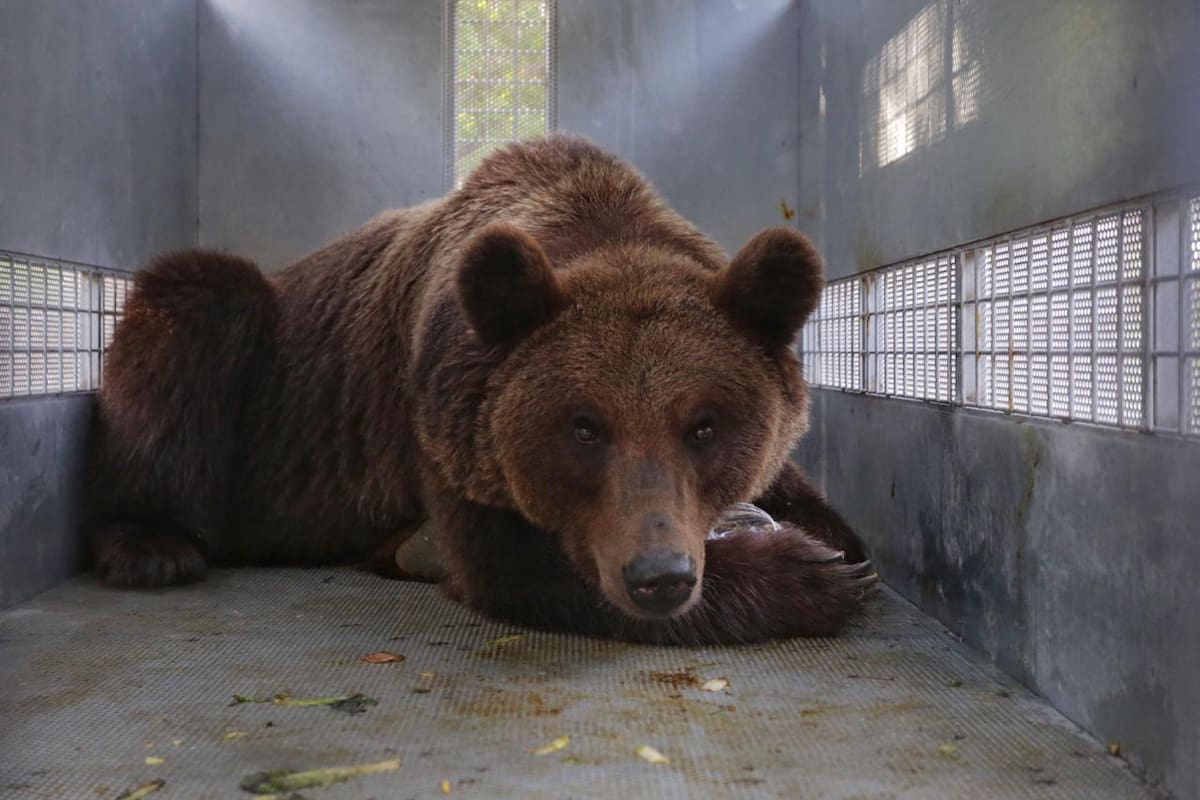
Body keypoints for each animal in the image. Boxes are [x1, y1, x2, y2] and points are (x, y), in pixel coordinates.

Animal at [86, 135, 875, 645]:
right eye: (584, 425)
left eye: (705, 424)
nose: (661, 576)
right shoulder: (443, 416)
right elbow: (520, 567)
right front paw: (811, 575)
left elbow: (795, 487)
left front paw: (837, 547)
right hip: (264, 380)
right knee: (195, 310)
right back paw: (152, 544)